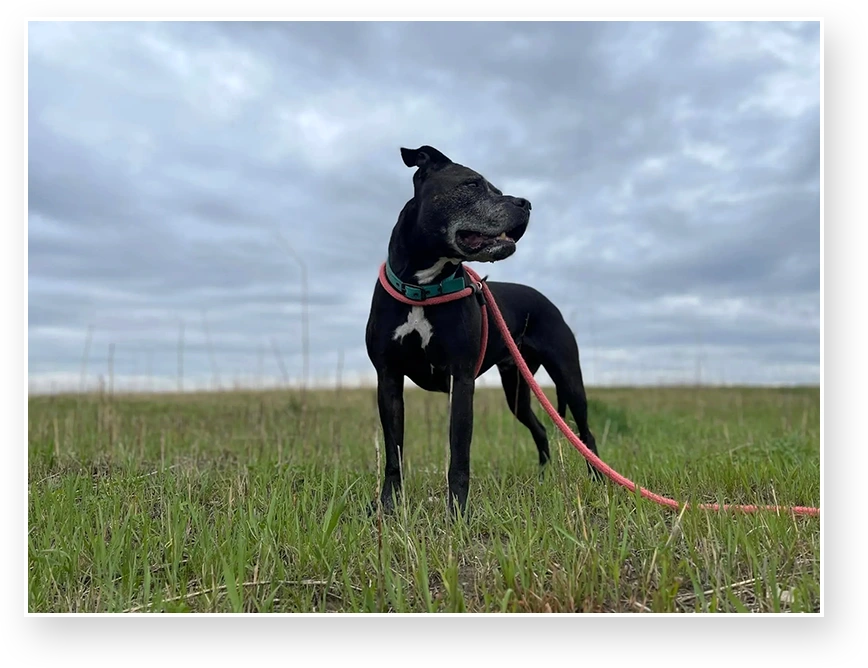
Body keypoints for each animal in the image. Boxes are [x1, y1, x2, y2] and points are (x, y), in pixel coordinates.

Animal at [364, 146, 596, 516]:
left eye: (498, 190)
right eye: (472, 184)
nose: (525, 203)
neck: (423, 286)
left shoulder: (461, 380)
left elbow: (459, 455)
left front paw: (457, 512)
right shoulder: (388, 379)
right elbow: (393, 453)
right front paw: (388, 506)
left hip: (569, 378)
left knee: (586, 434)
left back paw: (600, 482)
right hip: (517, 389)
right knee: (540, 429)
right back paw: (542, 479)